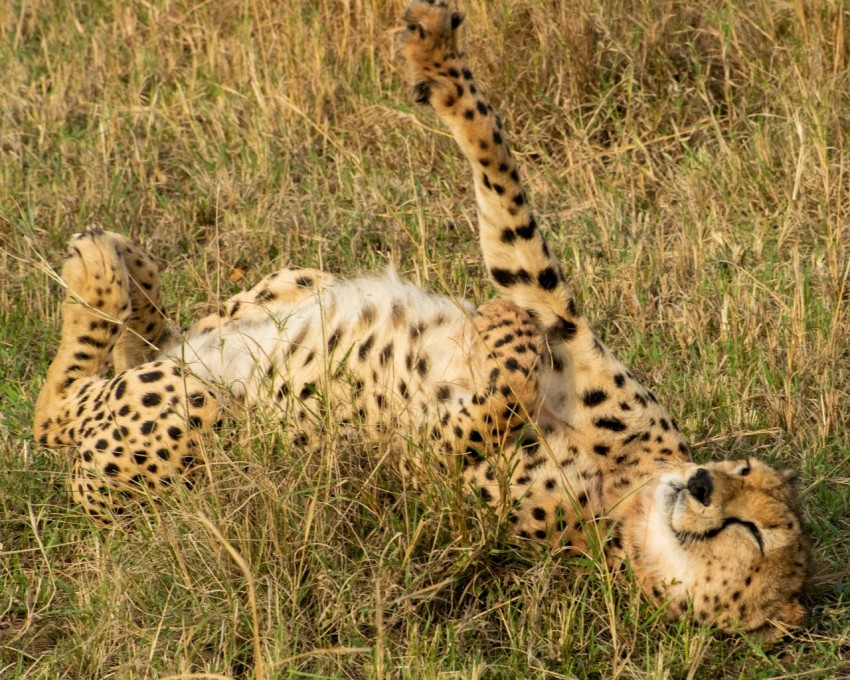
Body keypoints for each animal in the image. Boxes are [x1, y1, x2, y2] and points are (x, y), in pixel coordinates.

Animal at [33, 0, 808, 636]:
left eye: (755, 535)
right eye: (742, 468)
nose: (701, 484)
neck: (628, 496)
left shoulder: (430, 464)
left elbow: (498, 394)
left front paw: (501, 339)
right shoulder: (550, 311)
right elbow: (500, 176)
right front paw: (438, 57)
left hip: (189, 413)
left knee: (59, 407)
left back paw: (95, 272)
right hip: (284, 288)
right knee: (160, 340)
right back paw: (127, 266)